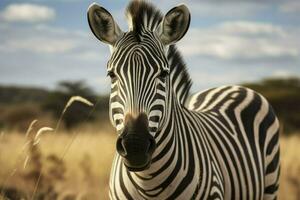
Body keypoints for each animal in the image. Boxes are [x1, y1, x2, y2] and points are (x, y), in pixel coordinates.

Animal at [87, 0, 282, 199]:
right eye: (111, 75)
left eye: (164, 74)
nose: (136, 147)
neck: (149, 182)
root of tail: (234, 87)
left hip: (271, 184)